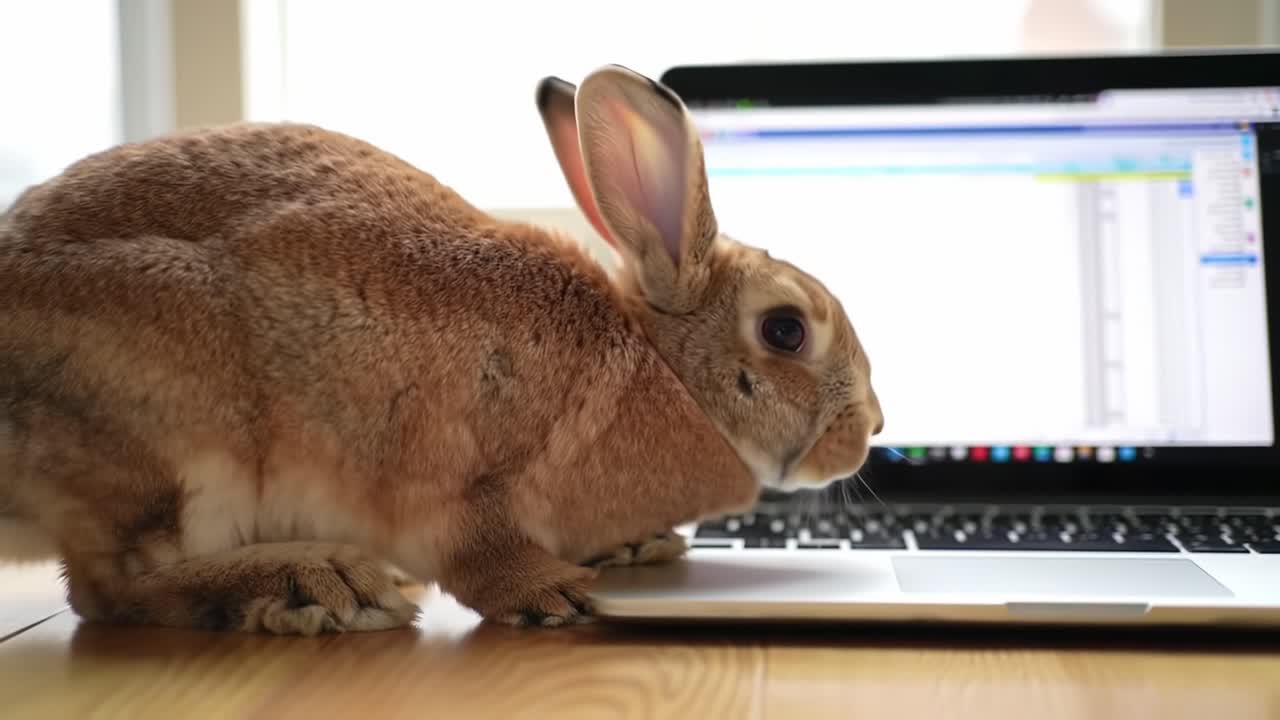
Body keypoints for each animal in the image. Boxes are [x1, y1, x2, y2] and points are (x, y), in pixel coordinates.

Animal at [0, 64, 883, 634]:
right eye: (785, 329)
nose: (871, 427)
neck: (660, 366)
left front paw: (641, 547)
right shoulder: (464, 475)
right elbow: (479, 551)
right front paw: (556, 592)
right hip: (175, 442)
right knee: (110, 591)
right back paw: (321, 585)